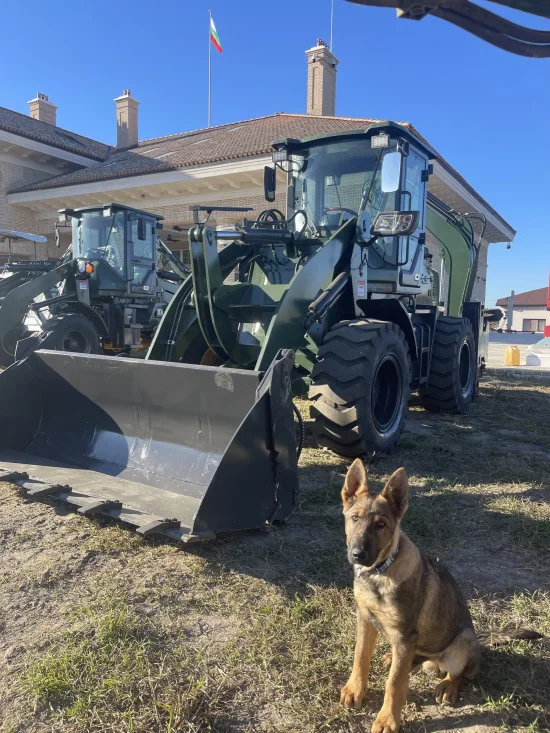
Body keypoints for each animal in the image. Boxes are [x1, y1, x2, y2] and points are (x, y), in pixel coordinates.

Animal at [340, 460, 544, 728]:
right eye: (355, 518)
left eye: (381, 525)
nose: (358, 555)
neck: (380, 572)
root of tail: (479, 641)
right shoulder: (365, 618)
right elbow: (360, 657)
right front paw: (355, 690)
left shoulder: (405, 634)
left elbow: (394, 683)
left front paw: (387, 719)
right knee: (413, 658)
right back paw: (394, 658)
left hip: (462, 642)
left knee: (462, 673)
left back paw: (447, 685)